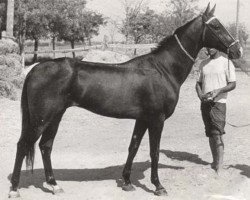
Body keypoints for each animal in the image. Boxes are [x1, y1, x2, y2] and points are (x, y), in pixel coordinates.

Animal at [9, 3, 242, 198]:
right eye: (216, 26)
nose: (237, 50)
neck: (163, 69)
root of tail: (35, 68)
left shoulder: (142, 119)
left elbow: (134, 146)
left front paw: (127, 182)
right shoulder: (156, 120)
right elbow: (154, 152)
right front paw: (158, 186)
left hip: (55, 116)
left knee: (45, 146)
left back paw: (54, 185)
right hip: (41, 119)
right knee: (23, 145)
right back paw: (14, 189)